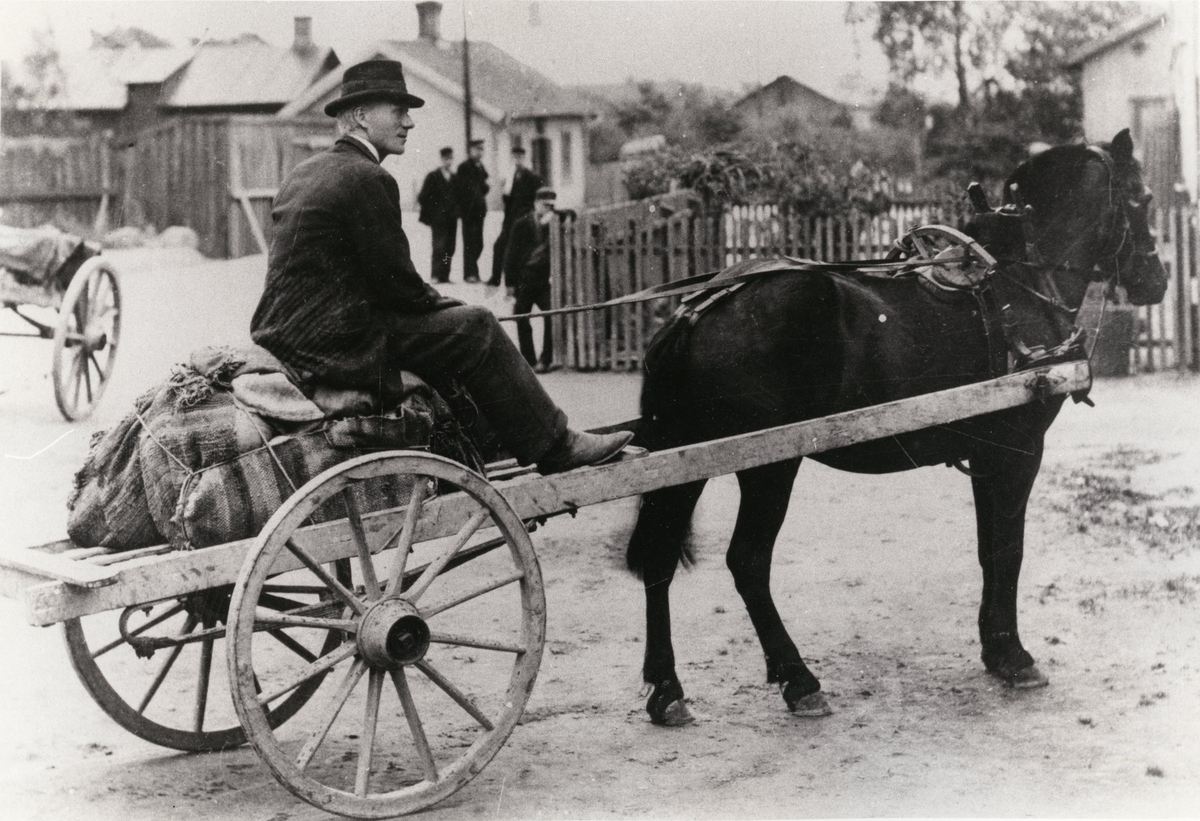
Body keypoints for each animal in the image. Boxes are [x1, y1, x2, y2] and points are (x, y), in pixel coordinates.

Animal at [628, 129, 1171, 724]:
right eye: (1143, 199)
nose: (1159, 280)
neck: (1019, 280)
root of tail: (693, 313)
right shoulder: (1018, 449)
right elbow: (1008, 548)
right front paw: (1013, 655)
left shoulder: (986, 455)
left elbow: (988, 547)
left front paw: (995, 648)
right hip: (770, 465)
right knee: (747, 561)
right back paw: (798, 679)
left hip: (686, 462)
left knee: (659, 557)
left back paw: (667, 689)